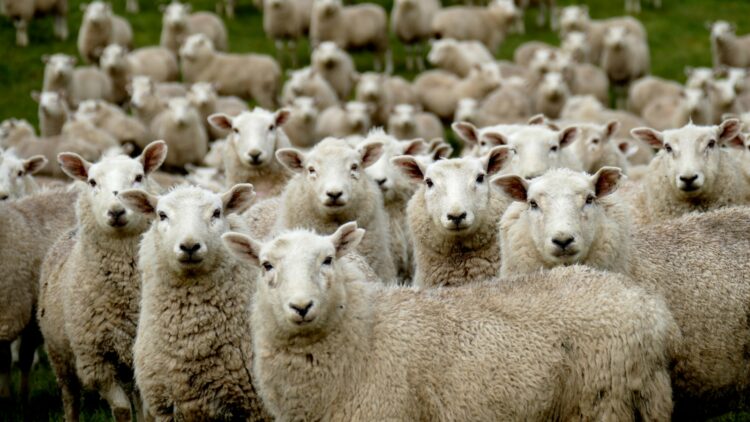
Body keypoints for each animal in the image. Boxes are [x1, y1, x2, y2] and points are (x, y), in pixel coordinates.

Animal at [37, 141, 167, 422]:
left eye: (138, 177)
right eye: (92, 182)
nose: (116, 211)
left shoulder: (140, 356)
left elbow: (145, 413)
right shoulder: (96, 361)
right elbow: (121, 410)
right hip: (59, 355)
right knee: (70, 398)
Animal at [116, 184, 270, 421]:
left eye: (217, 212)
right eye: (162, 215)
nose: (189, 245)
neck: (192, 341)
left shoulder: (256, 408)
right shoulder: (164, 407)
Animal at [221, 223, 676, 421]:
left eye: (328, 260)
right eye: (266, 266)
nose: (301, 307)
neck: (365, 337)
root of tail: (652, 310)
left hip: (604, 401)